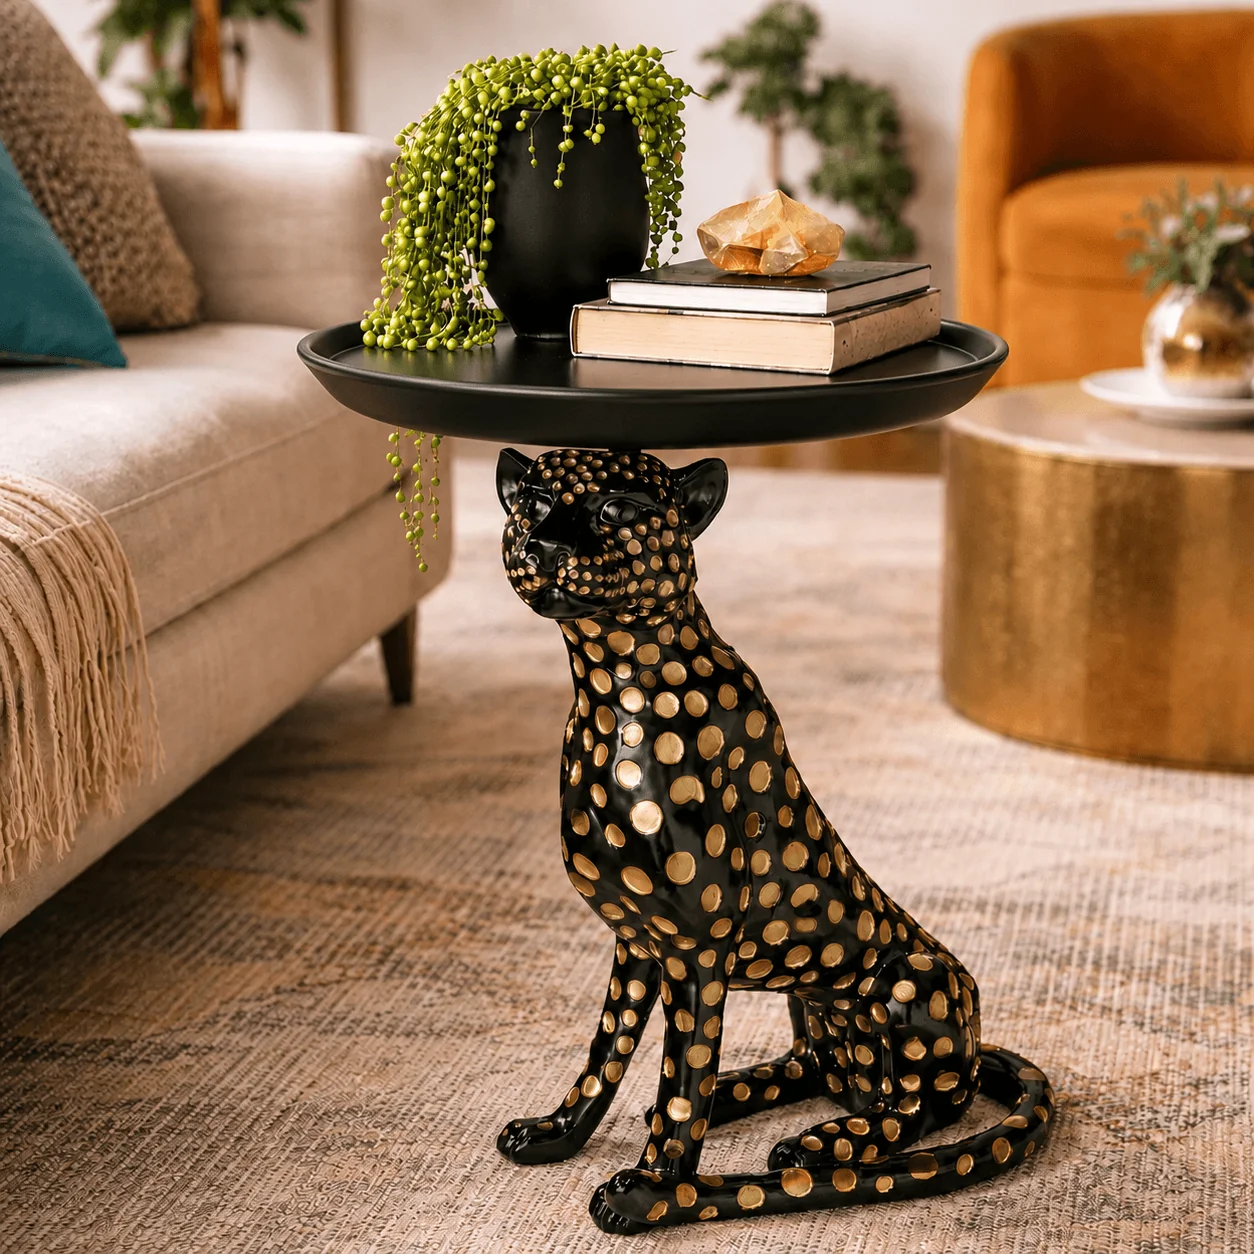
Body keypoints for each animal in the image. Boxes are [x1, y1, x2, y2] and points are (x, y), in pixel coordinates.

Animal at [492, 446, 1054, 1233]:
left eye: (616, 509)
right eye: (533, 501)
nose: (542, 547)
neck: (613, 693)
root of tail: (972, 1050)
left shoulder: (695, 957)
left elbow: (680, 1085)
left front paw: (656, 1190)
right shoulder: (635, 943)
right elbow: (607, 1056)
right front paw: (556, 1133)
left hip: (914, 981)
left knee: (918, 1111)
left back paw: (828, 1141)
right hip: (809, 1000)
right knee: (811, 1067)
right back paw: (755, 1097)